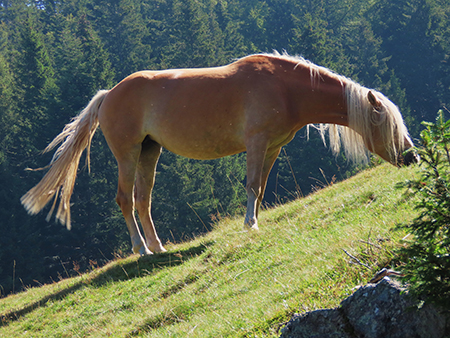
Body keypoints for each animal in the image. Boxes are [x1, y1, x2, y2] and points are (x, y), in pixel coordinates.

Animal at [21, 52, 416, 254]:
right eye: (389, 125)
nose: (412, 157)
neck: (285, 87)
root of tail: (108, 95)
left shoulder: (272, 147)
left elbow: (260, 187)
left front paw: (254, 220)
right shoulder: (257, 142)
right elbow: (252, 185)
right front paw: (250, 224)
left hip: (150, 152)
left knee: (142, 200)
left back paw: (158, 247)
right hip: (129, 153)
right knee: (125, 199)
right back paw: (141, 249)